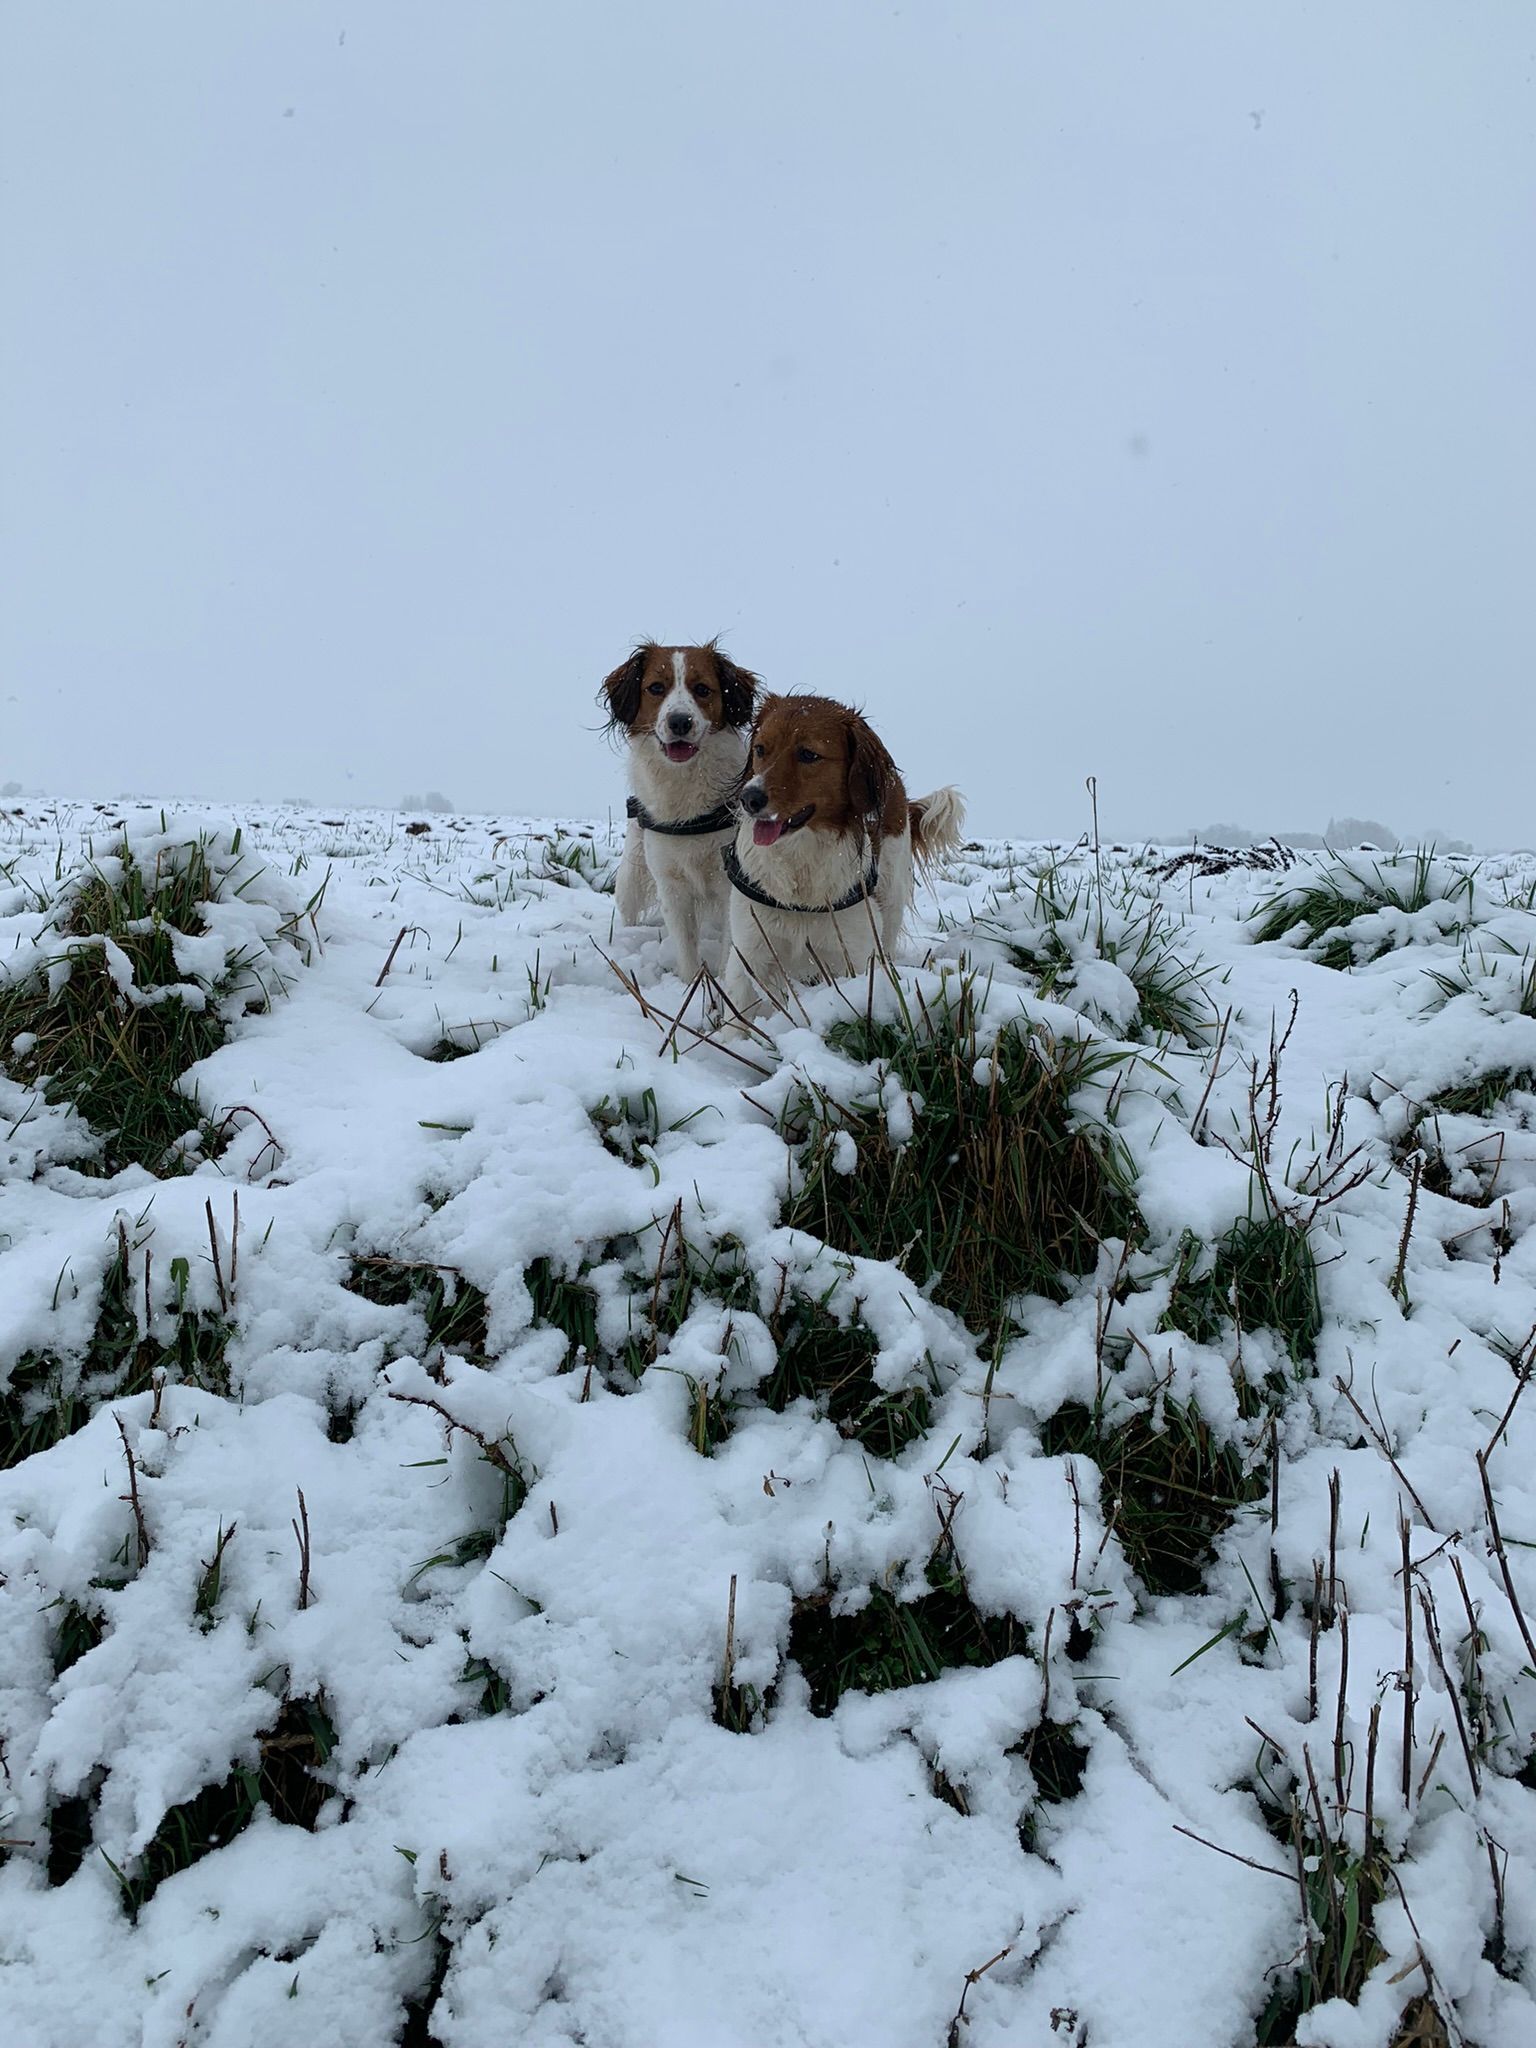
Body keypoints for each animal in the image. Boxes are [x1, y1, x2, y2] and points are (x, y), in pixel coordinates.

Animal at [602, 641, 761, 985]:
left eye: (702, 689)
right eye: (655, 688)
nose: (679, 722)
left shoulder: (730, 883)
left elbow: (730, 950)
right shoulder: (671, 886)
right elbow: (687, 949)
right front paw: (690, 987)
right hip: (632, 876)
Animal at [721, 693, 965, 1023]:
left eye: (808, 754)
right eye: (760, 749)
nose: (749, 798)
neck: (800, 862)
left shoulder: (855, 955)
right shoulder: (749, 951)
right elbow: (736, 1019)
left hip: (890, 898)